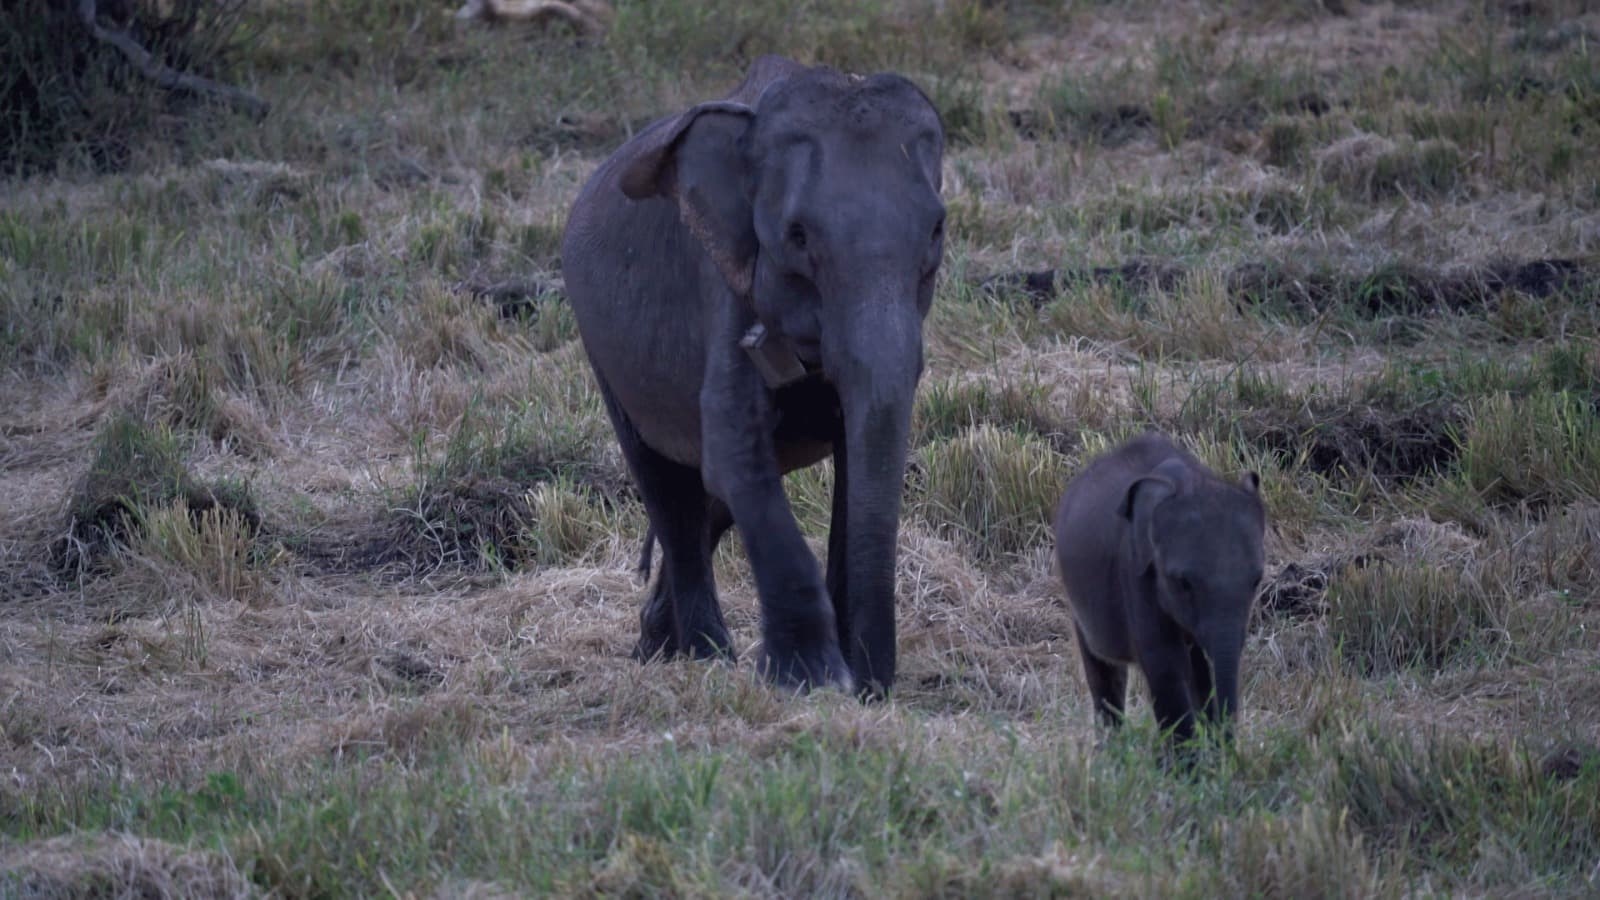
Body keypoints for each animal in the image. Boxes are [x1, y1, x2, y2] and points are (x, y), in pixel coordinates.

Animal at [560, 56, 946, 696]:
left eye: (938, 231)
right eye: (797, 236)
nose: (875, 686)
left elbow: (853, 456)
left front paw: (850, 679)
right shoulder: (721, 290)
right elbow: (734, 453)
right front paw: (812, 682)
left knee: (706, 505)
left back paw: (656, 646)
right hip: (601, 348)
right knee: (668, 492)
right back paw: (704, 657)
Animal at [1053, 432, 1266, 743]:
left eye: (1256, 580)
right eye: (1183, 582)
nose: (1228, 748)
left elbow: (1200, 668)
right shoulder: (1135, 572)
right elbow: (1165, 663)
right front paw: (1191, 756)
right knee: (1104, 671)